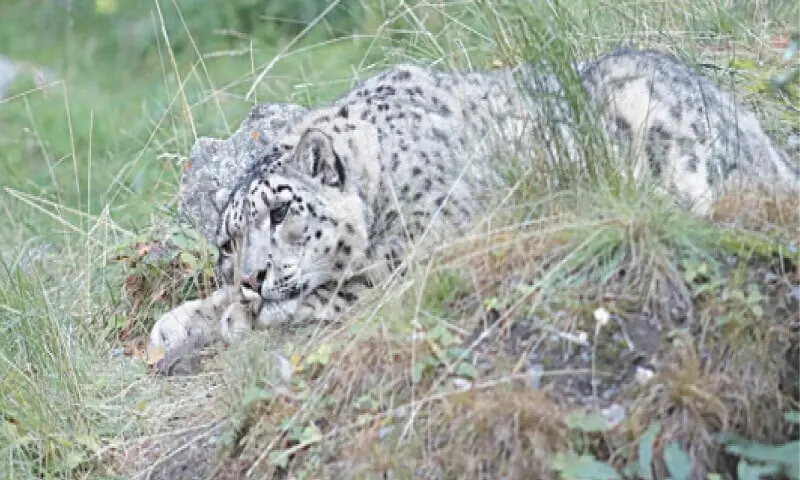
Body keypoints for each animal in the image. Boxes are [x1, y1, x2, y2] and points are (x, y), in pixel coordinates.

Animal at [149, 47, 799, 353]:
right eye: (226, 243)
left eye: (282, 212)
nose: (252, 277)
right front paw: (180, 323)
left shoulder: (426, 246)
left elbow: (345, 284)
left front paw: (241, 316)